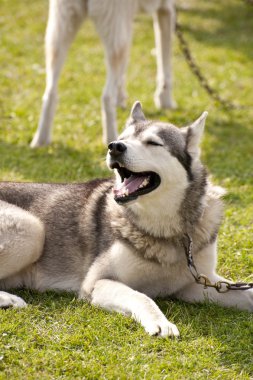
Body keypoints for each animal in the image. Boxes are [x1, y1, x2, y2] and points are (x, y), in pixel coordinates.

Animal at [0, 102, 252, 336]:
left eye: (153, 143)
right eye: (122, 139)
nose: (114, 146)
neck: (166, 230)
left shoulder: (197, 283)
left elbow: (246, 292)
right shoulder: (97, 282)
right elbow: (142, 296)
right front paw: (160, 323)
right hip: (33, 230)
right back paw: (9, 300)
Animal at [30, 0, 176, 148]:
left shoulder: (130, 20)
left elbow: (124, 71)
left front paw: (121, 99)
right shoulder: (165, 10)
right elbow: (164, 61)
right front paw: (166, 101)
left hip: (59, 31)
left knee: (50, 93)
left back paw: (40, 141)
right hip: (115, 36)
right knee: (106, 96)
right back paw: (112, 138)